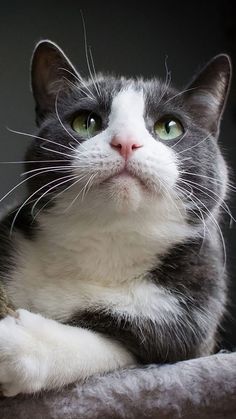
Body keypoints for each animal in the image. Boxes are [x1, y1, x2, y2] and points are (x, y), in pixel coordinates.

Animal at [0, 40, 232, 398]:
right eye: (86, 122)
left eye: (169, 127)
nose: (125, 142)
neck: (107, 243)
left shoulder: (188, 321)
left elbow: (110, 346)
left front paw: (18, 344)